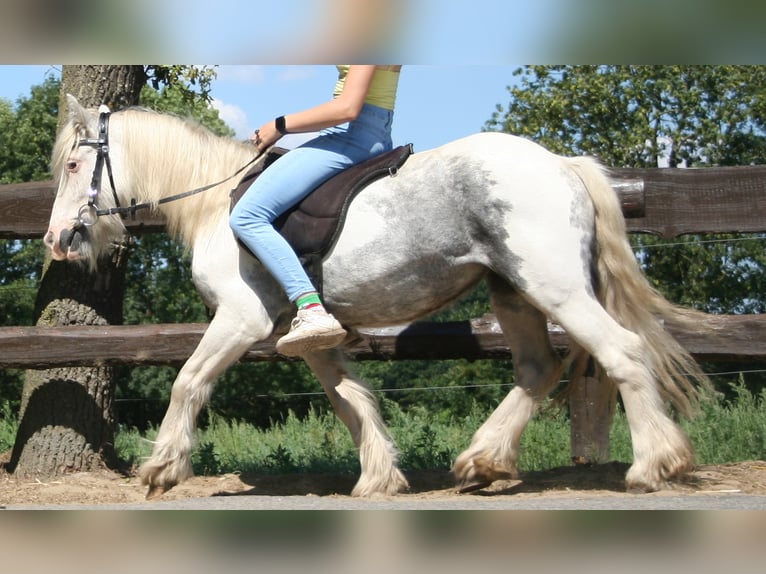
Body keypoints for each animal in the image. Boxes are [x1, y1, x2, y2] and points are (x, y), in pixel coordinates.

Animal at [45, 95, 712, 500]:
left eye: (75, 165)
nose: (57, 240)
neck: (216, 204)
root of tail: (561, 163)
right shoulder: (306, 334)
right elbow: (351, 400)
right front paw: (380, 477)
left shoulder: (240, 319)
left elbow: (188, 381)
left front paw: (161, 468)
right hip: (513, 293)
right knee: (536, 369)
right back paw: (482, 461)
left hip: (555, 287)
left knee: (622, 352)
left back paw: (653, 465)